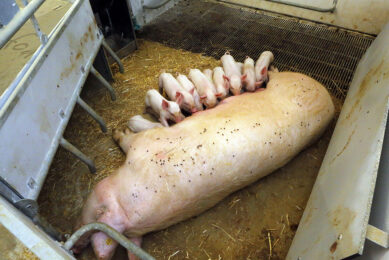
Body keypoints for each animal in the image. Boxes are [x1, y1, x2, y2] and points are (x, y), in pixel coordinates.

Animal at [73, 71, 334, 260]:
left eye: (96, 213)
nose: (75, 248)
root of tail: (329, 100)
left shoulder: (146, 144)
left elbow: (130, 137)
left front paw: (118, 131)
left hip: (287, 80)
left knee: (277, 74)